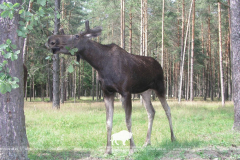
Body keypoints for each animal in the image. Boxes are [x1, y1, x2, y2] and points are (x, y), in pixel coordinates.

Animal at [46, 20, 175, 154]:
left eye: (76, 36)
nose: (51, 40)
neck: (100, 65)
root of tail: (160, 65)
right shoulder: (107, 92)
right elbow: (108, 122)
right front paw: (108, 150)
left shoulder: (125, 91)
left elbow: (128, 121)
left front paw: (132, 148)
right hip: (144, 91)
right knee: (151, 112)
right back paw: (147, 142)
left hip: (160, 87)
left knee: (167, 109)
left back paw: (173, 138)